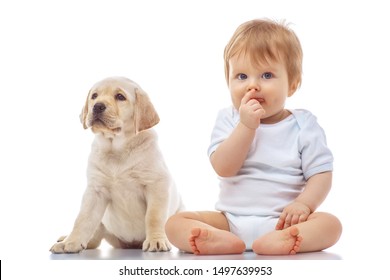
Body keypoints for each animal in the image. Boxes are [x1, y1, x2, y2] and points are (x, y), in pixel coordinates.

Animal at [51, 76, 184, 254]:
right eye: (94, 96)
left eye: (120, 97)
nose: (97, 106)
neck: (117, 148)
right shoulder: (95, 191)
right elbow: (83, 218)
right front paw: (71, 242)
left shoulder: (156, 184)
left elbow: (154, 216)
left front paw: (156, 240)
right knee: (94, 238)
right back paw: (68, 239)